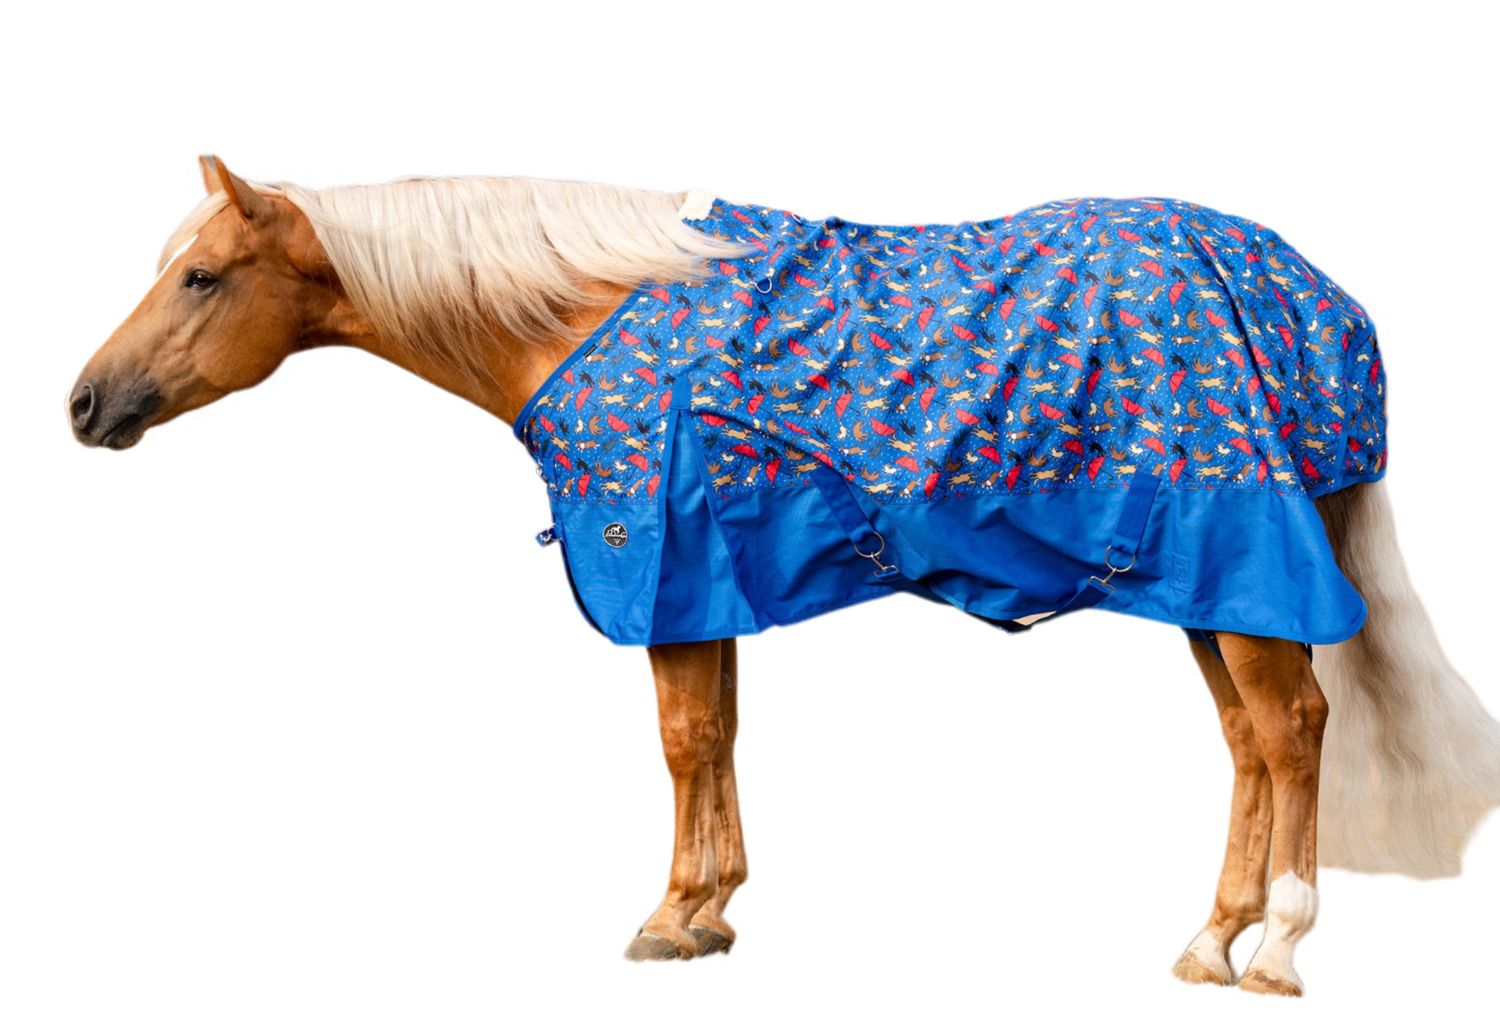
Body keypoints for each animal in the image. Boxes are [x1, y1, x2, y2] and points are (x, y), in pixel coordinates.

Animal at [69, 157, 1500, 997]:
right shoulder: (712, 581)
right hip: (1200, 584)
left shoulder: (665, 569)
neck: (587, 311)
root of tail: (1315, 293)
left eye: (202, 276)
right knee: (1252, 743)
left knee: (1295, 729)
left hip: (1243, 559)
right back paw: (1211, 938)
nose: (85, 403)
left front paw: (670, 916)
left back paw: (1281, 944)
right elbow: (717, 736)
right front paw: (712, 909)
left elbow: (682, 738)